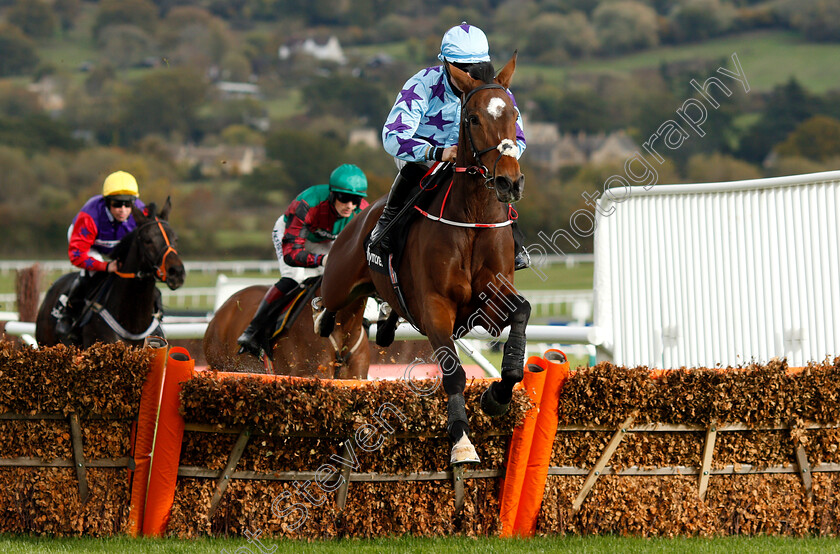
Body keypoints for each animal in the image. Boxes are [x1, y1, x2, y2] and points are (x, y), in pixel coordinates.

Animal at [316, 55, 532, 462]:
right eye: (473, 118)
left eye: (513, 113)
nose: (509, 182)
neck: (471, 221)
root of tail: (360, 219)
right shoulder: (436, 307)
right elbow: (453, 372)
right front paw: (462, 442)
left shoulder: (492, 300)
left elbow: (522, 314)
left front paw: (497, 396)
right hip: (340, 280)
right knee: (329, 305)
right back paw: (321, 316)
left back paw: (386, 321)